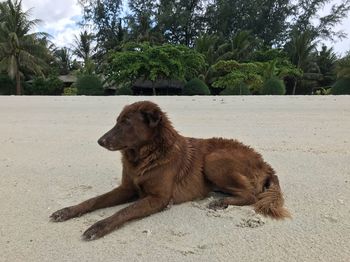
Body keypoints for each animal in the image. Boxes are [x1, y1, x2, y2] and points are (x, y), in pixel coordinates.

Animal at [50, 100, 290, 239]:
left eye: (126, 123)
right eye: (117, 121)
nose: (100, 141)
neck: (146, 156)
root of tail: (264, 162)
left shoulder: (159, 198)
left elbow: (124, 211)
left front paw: (99, 226)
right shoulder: (126, 188)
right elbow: (93, 200)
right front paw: (67, 211)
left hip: (213, 159)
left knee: (251, 195)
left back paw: (221, 202)